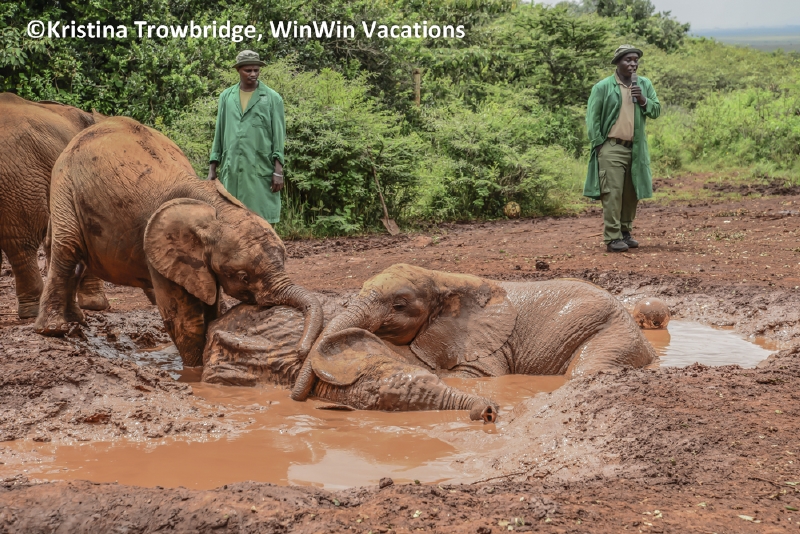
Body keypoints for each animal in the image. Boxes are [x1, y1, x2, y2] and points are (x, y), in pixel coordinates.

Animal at [34, 116, 323, 367]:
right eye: (243, 277)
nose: (300, 353)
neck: (215, 209)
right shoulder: (159, 249)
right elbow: (184, 318)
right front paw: (195, 372)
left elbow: (211, 307)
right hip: (64, 185)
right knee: (68, 247)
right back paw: (53, 330)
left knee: (78, 259)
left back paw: (77, 321)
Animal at [291, 264, 657, 399]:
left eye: (399, 305)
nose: (300, 350)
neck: (441, 279)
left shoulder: (484, 345)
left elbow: (476, 377)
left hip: (610, 334)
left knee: (584, 371)